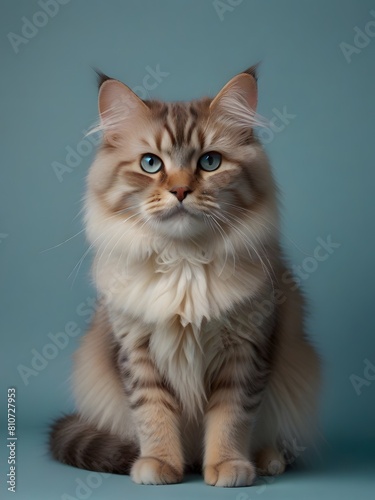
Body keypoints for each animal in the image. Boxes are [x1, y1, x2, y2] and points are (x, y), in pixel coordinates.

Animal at [48, 64, 322, 486]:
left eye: (210, 162)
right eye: (150, 163)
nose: (179, 191)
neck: (183, 261)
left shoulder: (245, 351)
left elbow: (231, 418)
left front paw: (227, 466)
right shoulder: (137, 351)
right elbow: (153, 415)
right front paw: (160, 464)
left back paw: (266, 460)